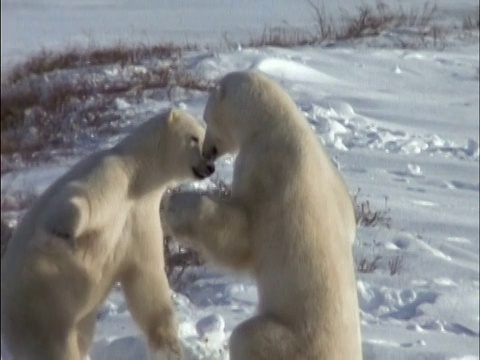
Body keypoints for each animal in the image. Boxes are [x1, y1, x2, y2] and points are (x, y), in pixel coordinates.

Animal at [0, 109, 214, 360]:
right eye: (194, 138)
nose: (210, 166)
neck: (141, 173)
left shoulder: (142, 214)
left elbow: (146, 278)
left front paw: (168, 345)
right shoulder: (113, 174)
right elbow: (82, 198)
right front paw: (66, 232)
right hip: (41, 306)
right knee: (53, 346)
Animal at [163, 71, 362, 360]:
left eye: (207, 117)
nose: (208, 152)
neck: (275, 123)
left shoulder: (265, 168)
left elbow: (240, 237)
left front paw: (173, 206)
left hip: (291, 340)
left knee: (246, 336)